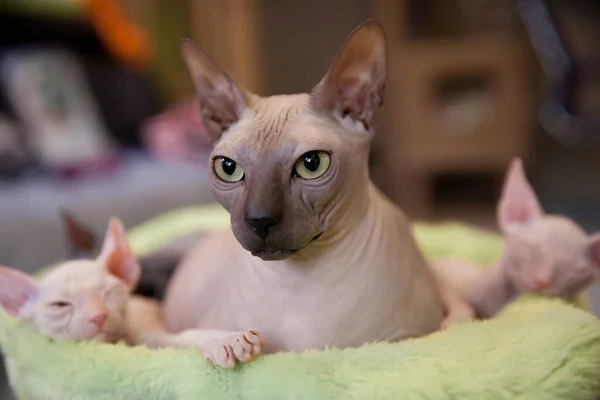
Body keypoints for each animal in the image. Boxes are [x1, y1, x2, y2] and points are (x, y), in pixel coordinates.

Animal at [132, 20, 474, 368]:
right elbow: (178, 337)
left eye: (312, 164)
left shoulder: (409, 337)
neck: (301, 282)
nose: (259, 220)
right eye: (228, 168)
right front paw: (227, 343)